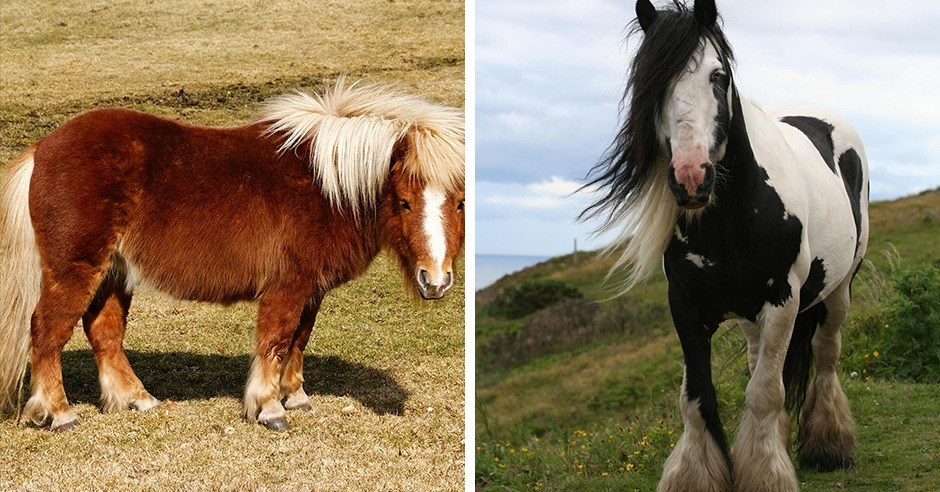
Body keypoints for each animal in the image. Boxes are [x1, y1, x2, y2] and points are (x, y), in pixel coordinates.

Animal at [0, 80, 466, 430]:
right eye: (404, 202)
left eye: (460, 203)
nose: (435, 280)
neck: (327, 186)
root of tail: (42, 147)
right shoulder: (286, 287)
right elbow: (275, 341)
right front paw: (270, 409)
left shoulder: (310, 290)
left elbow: (299, 340)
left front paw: (295, 396)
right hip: (75, 268)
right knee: (47, 331)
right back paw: (59, 414)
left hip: (113, 273)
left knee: (105, 334)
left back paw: (137, 399)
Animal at [584, 0, 872, 492]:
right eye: (652, 83)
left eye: (717, 76)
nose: (691, 178)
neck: (733, 215)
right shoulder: (685, 305)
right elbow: (698, 396)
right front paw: (700, 473)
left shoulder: (783, 298)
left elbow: (765, 392)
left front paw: (767, 474)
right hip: (752, 316)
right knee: (762, 360)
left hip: (836, 293)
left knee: (825, 354)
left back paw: (829, 444)